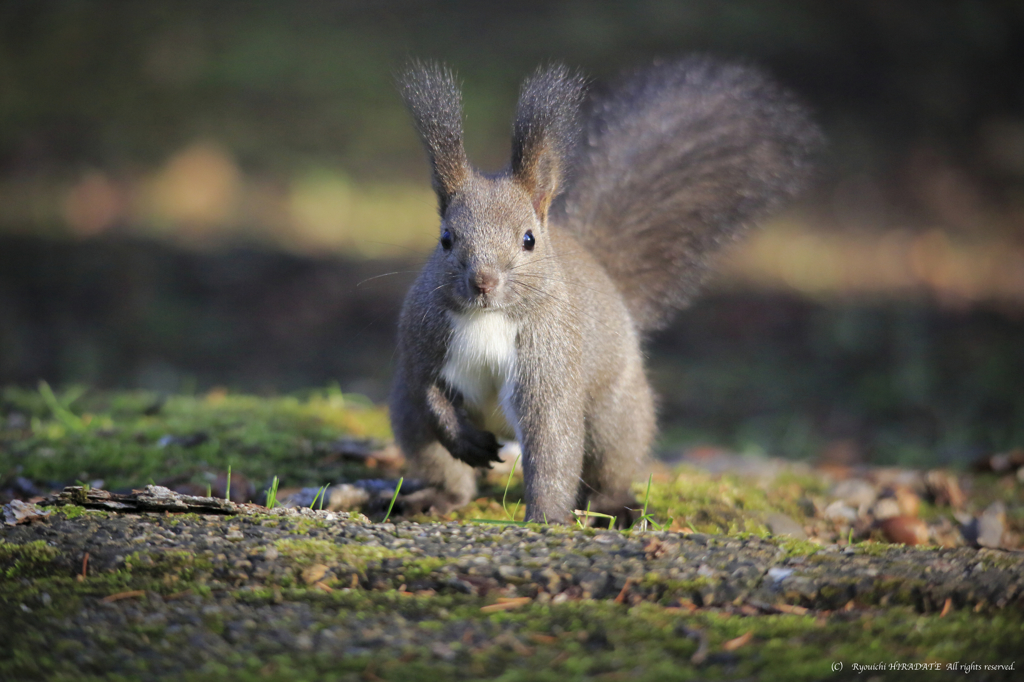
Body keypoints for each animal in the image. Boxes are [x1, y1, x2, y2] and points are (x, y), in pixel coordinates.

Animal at [387, 58, 819, 522]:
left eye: (528, 240)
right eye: (446, 239)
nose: (483, 281)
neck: (488, 317)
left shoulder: (551, 360)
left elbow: (552, 444)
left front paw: (547, 519)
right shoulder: (422, 339)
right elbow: (428, 391)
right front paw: (462, 438)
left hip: (615, 417)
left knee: (607, 466)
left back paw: (613, 505)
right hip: (407, 418)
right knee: (443, 463)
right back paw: (434, 498)